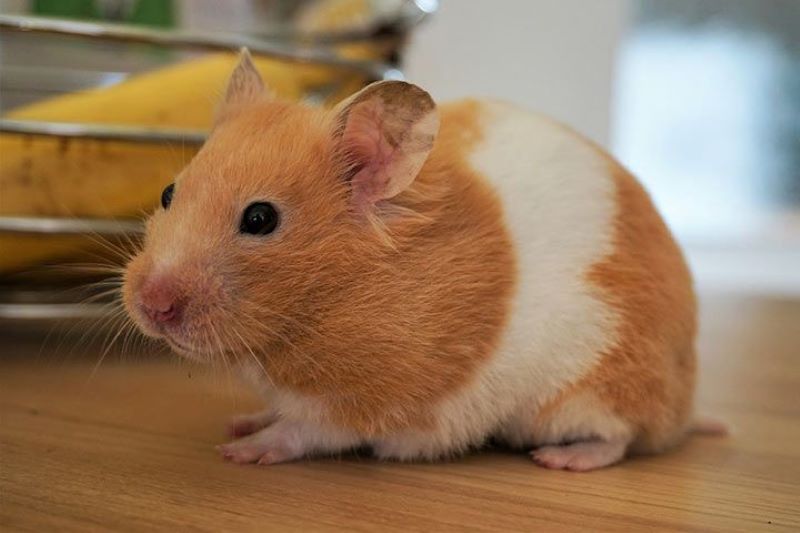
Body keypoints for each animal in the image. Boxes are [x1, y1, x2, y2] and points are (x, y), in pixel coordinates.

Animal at [123, 50, 703, 470]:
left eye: (260, 219)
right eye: (168, 193)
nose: (153, 305)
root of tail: (684, 406)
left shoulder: (367, 401)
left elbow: (304, 429)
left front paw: (239, 451)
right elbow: (279, 411)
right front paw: (240, 423)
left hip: (590, 391)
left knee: (619, 436)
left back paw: (561, 459)